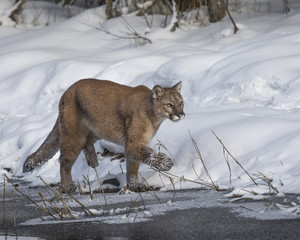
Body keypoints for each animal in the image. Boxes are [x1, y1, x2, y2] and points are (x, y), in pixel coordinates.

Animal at [23, 79, 184, 192]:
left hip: (99, 128)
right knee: (64, 161)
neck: (154, 116)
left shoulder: (137, 144)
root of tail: (67, 91)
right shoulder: (134, 144)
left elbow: (133, 166)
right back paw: (67, 186)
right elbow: (148, 156)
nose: (180, 114)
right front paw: (166, 163)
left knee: (87, 142)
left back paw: (92, 159)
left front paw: (134, 185)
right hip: (73, 135)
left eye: (181, 102)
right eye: (169, 104)